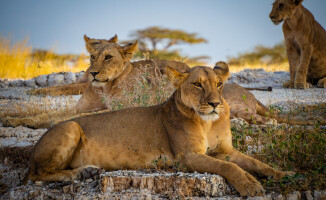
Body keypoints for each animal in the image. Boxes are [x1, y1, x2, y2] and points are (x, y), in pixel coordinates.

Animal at [23, 64, 292, 197]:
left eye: (219, 84)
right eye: (197, 84)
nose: (216, 103)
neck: (209, 122)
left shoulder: (225, 150)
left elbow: (257, 163)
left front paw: (283, 174)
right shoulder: (187, 157)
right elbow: (228, 167)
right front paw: (250, 186)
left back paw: (86, 171)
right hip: (70, 126)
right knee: (37, 174)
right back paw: (74, 175)